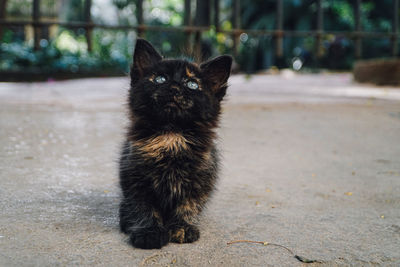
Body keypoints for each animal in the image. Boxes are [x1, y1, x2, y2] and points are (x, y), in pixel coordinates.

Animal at [118, 38, 231, 250]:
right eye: (160, 79)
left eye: (192, 84)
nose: (174, 88)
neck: (171, 135)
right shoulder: (134, 176)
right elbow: (143, 207)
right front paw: (149, 232)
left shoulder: (201, 179)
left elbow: (189, 205)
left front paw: (182, 227)